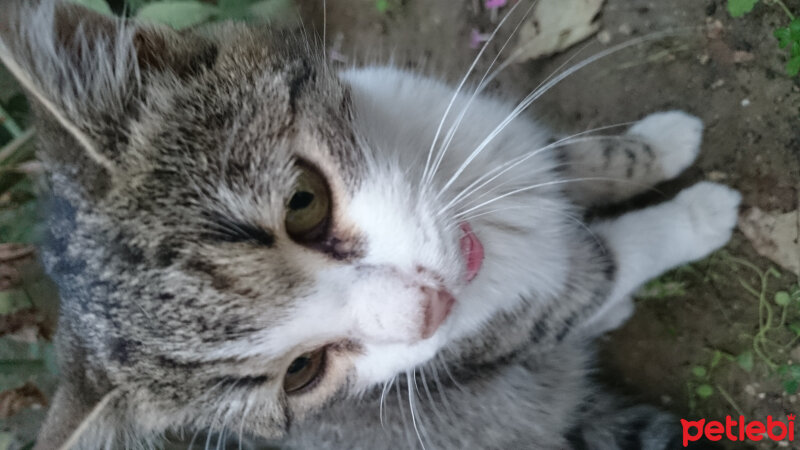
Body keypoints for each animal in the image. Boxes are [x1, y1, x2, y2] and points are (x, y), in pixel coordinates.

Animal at [0, 0, 740, 450]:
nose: (430, 306)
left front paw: (660, 144)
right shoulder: (520, 323)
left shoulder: (488, 127)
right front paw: (698, 216)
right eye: (302, 371)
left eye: (304, 201)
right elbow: (612, 260)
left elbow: (568, 158)